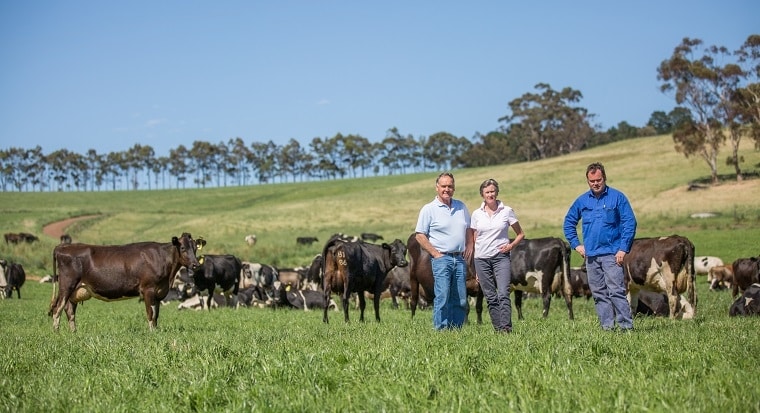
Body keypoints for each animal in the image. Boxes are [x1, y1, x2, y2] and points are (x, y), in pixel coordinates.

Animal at [49, 232, 206, 332]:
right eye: (183, 248)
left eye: (195, 249)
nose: (195, 265)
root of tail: (62, 247)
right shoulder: (148, 289)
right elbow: (150, 313)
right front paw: (152, 333)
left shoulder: (158, 292)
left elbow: (156, 314)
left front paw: (156, 331)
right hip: (66, 286)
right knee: (57, 309)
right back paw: (57, 334)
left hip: (75, 291)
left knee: (69, 311)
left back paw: (73, 333)